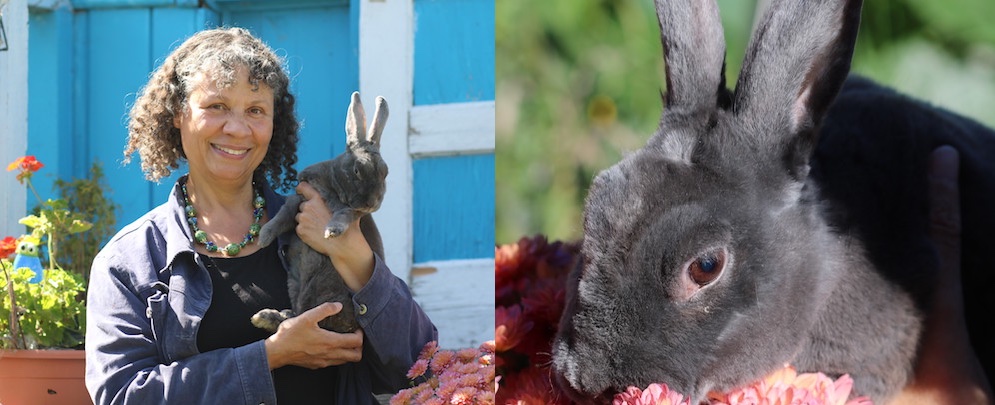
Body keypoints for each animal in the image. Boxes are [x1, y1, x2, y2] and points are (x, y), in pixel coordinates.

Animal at [251, 93, 388, 332]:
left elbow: (342, 216)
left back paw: (265, 317)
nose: (372, 203)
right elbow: (282, 217)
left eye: (386, 173)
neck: (334, 188)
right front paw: (264, 237)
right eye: (357, 170)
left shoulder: (351, 212)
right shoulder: (299, 198)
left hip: (318, 288)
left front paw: (331, 231)